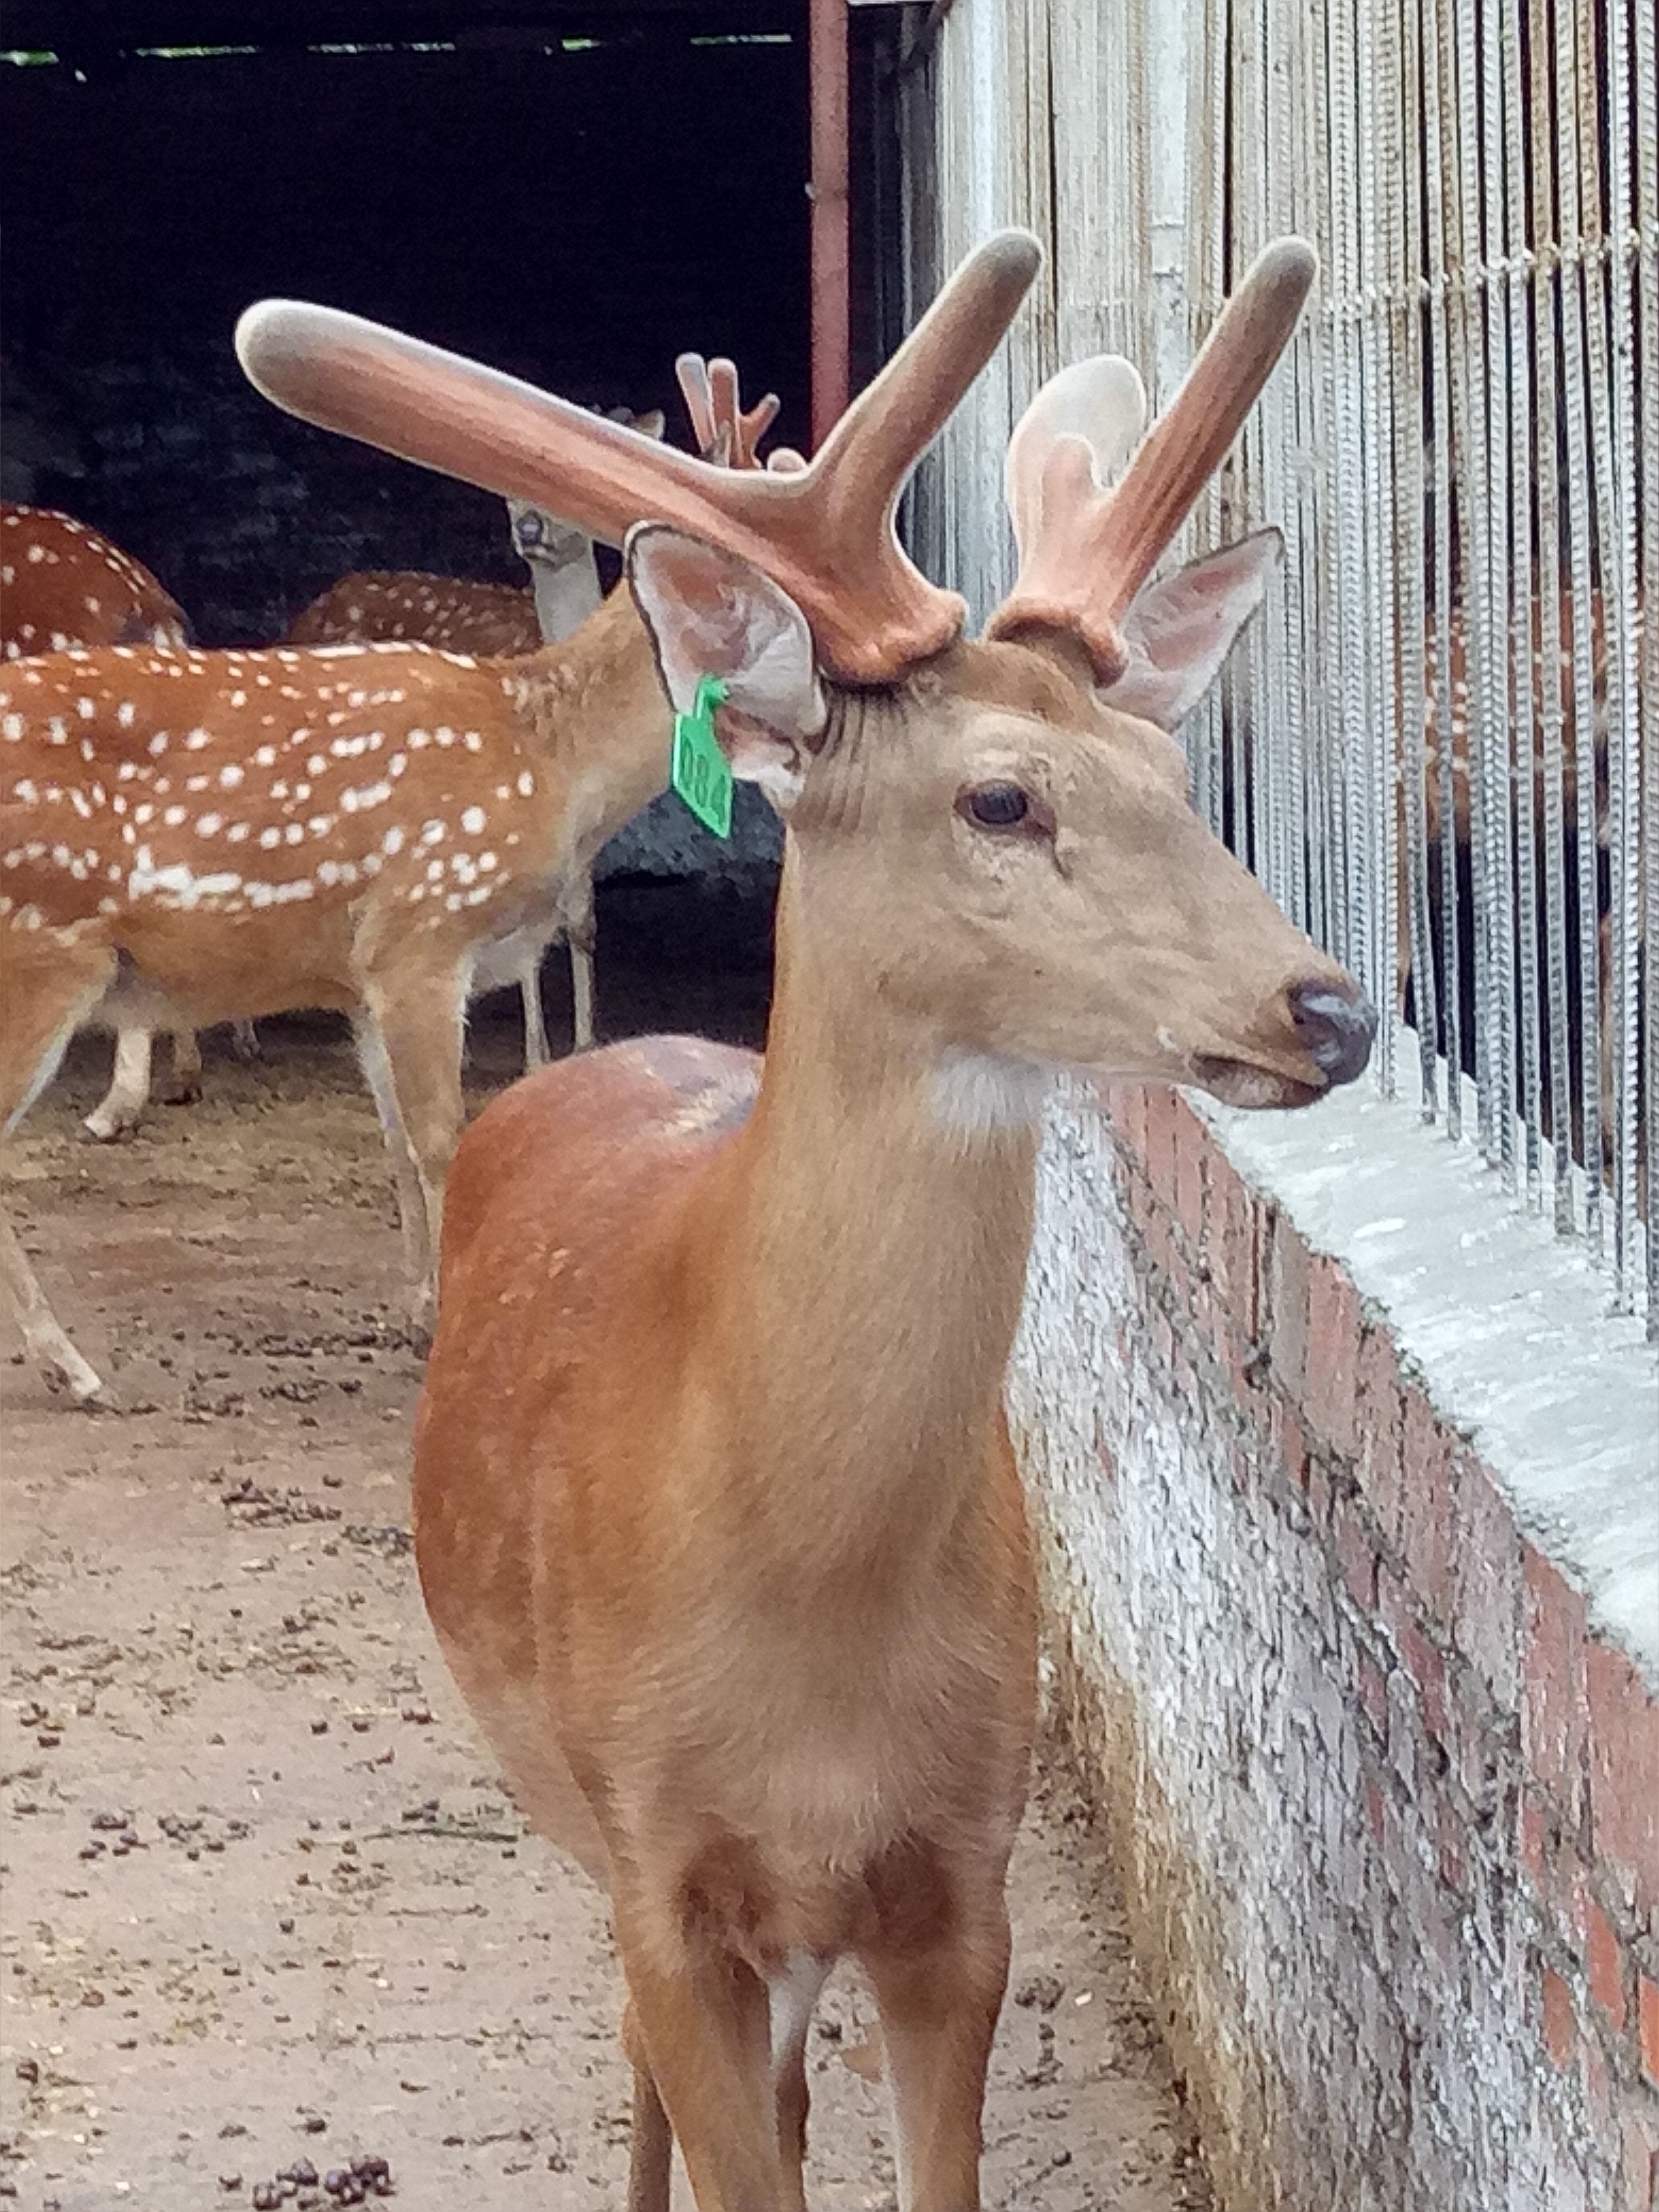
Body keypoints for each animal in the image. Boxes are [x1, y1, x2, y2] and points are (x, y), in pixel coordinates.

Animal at [2, 356, 778, 1406]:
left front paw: (413, 1313)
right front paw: (450, 1328)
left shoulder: (366, 972)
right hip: (41, 950)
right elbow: (447, 1135)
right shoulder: (426, 926)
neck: (552, 759)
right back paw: (73, 1365)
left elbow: (397, 1141)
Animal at [234, 233, 1380, 2203]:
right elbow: (701, 2090)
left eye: (1174, 780)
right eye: (1000, 796)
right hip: (580, 1819)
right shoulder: (664, 1867)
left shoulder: (963, 1883)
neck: (807, 1617)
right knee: (639, 2058)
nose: (1332, 1010)